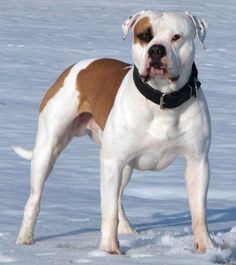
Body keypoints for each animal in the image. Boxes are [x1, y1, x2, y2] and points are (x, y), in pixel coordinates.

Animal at [13, 9, 215, 254]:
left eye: (176, 37)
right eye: (144, 35)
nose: (157, 50)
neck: (162, 100)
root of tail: (75, 66)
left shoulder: (198, 162)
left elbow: (199, 211)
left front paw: (207, 247)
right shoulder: (111, 161)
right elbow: (107, 211)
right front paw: (109, 250)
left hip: (125, 166)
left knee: (118, 198)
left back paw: (128, 230)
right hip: (47, 149)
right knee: (35, 198)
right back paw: (25, 240)